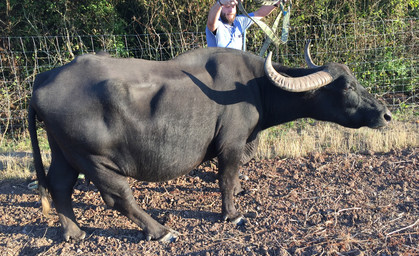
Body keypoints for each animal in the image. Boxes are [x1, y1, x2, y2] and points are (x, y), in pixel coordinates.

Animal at [28, 43, 390, 242]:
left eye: (355, 80)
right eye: (346, 87)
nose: (385, 114)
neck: (255, 86)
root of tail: (43, 81)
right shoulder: (231, 143)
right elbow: (226, 178)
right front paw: (232, 213)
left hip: (63, 152)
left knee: (59, 186)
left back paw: (74, 232)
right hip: (93, 158)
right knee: (119, 196)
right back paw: (160, 231)